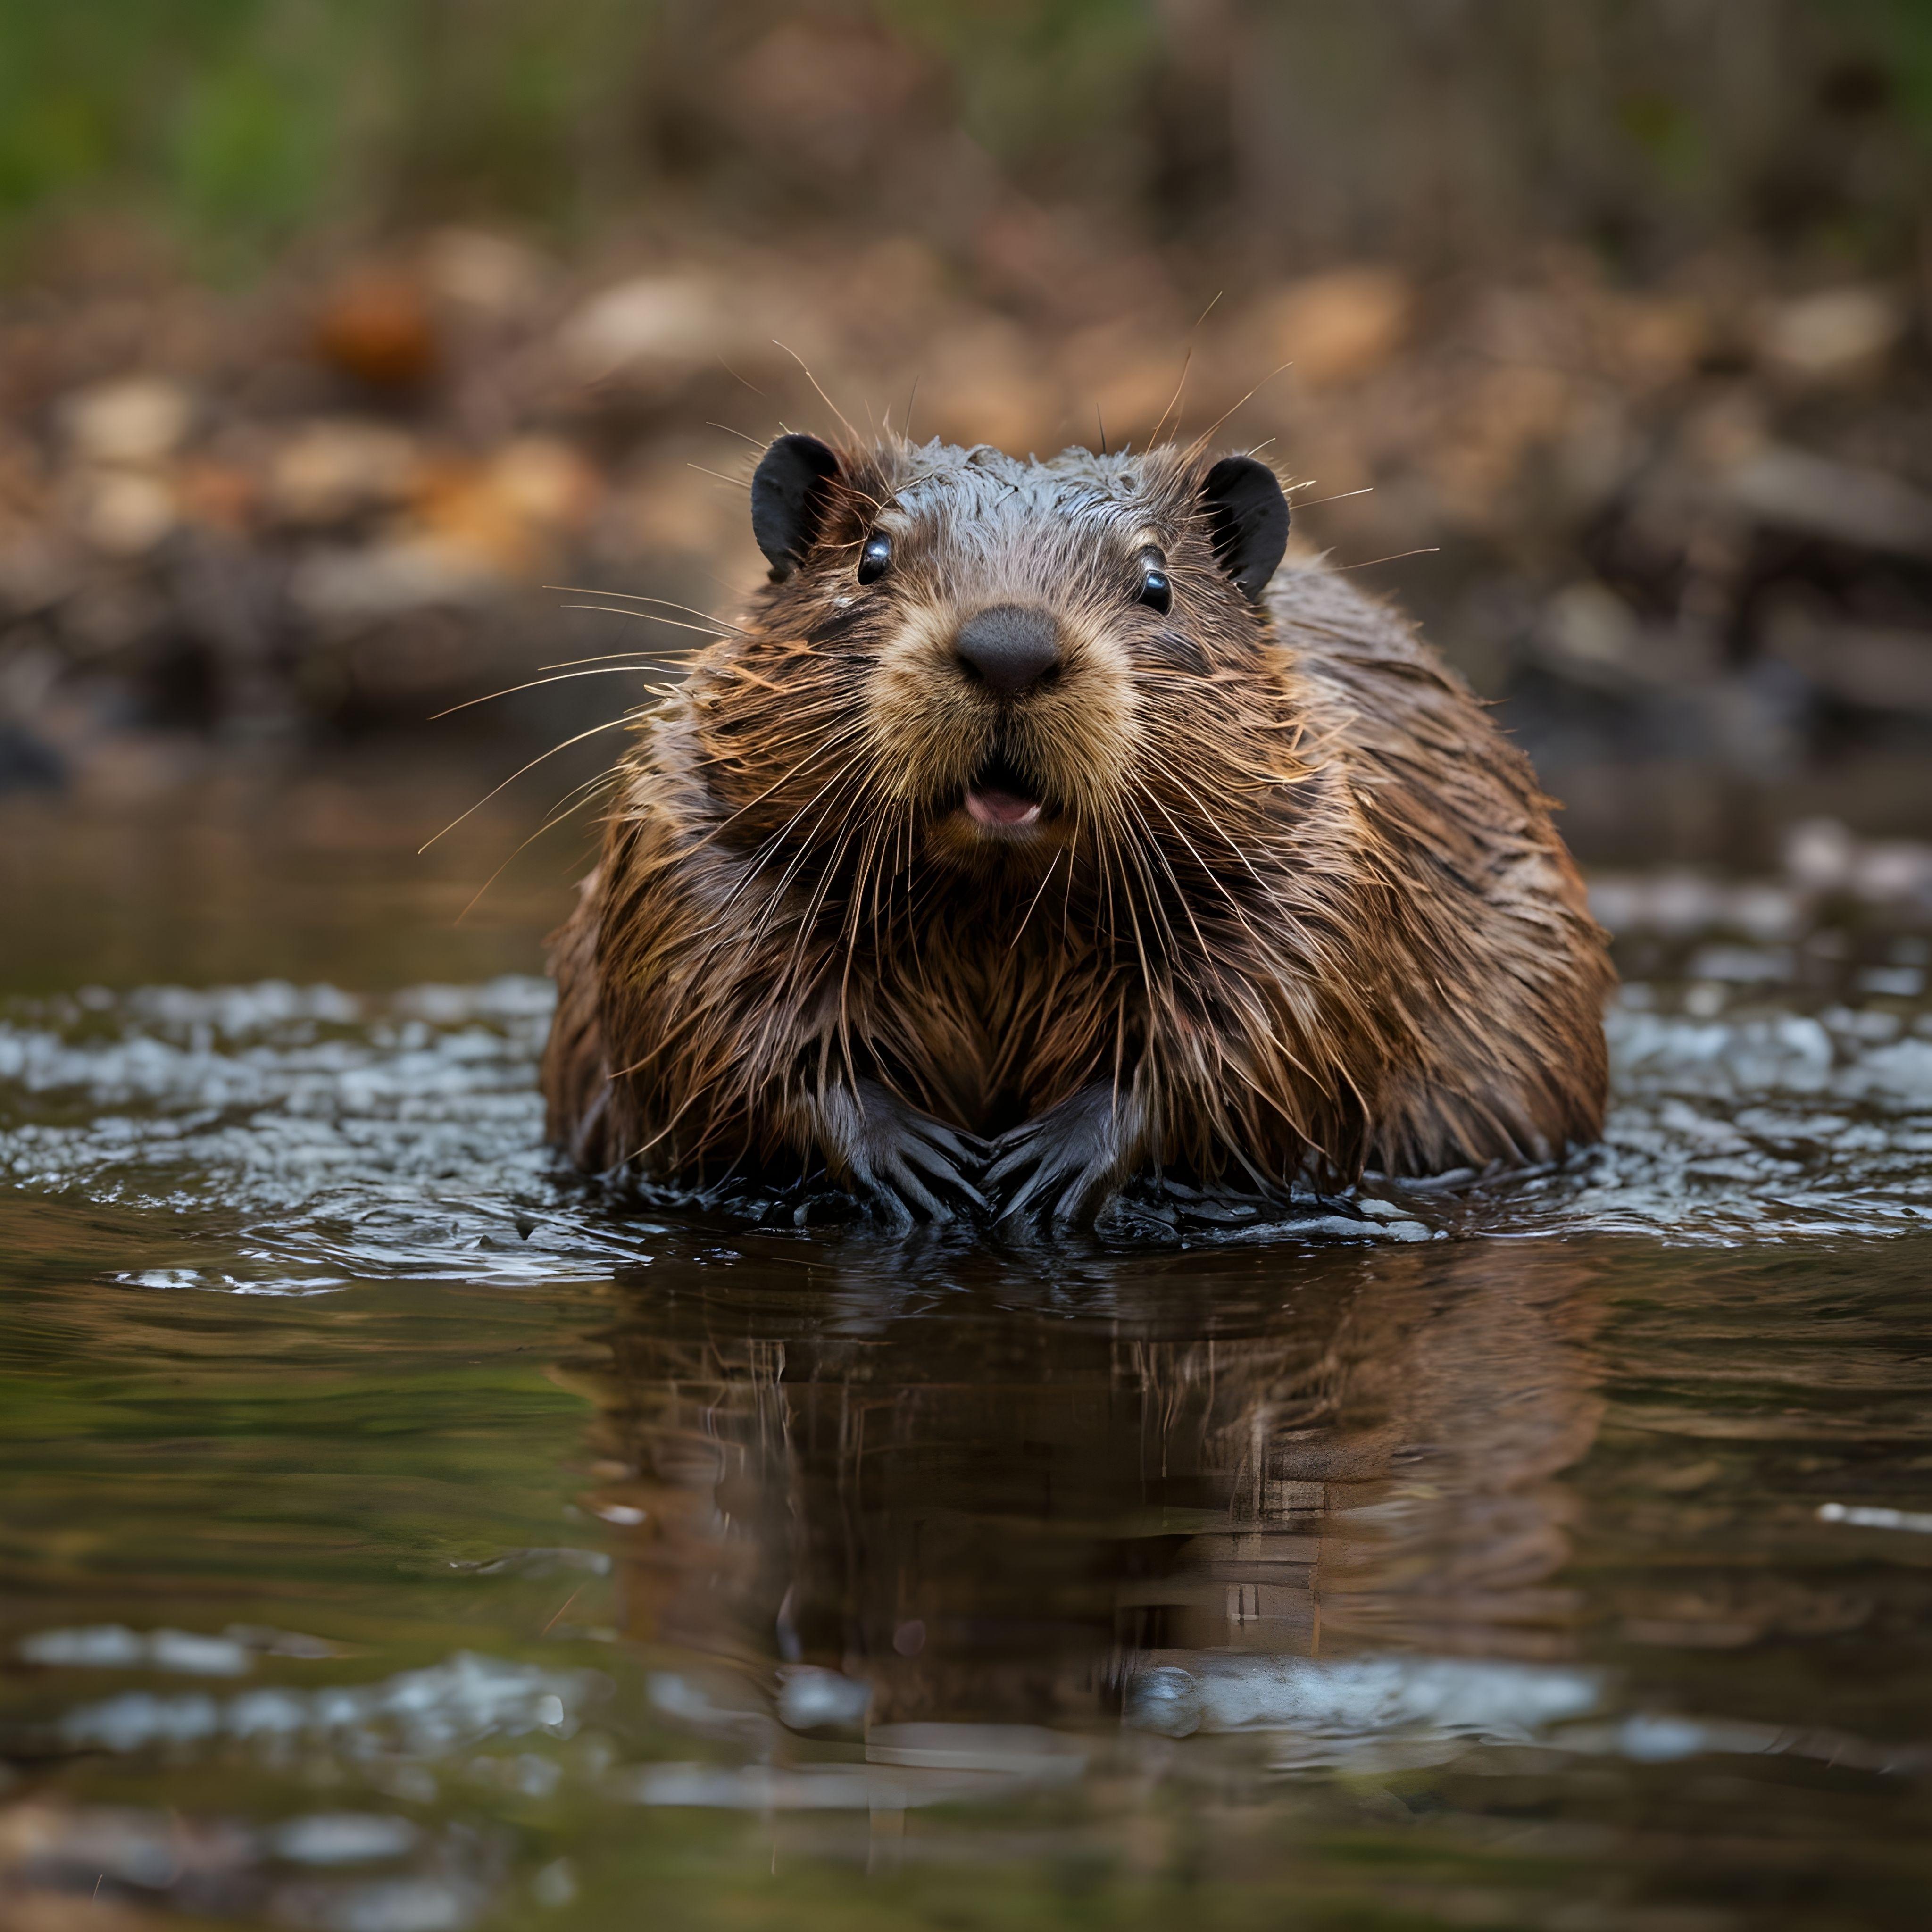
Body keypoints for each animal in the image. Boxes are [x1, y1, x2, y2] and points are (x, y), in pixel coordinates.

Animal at [545, 434, 1615, 1221]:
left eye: (1156, 580)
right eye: (872, 557)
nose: (1008, 647)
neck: (991, 911)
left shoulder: (1325, 848)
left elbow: (1272, 1022)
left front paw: (1041, 1165)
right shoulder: (682, 830)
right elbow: (708, 1008)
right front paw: (922, 1159)